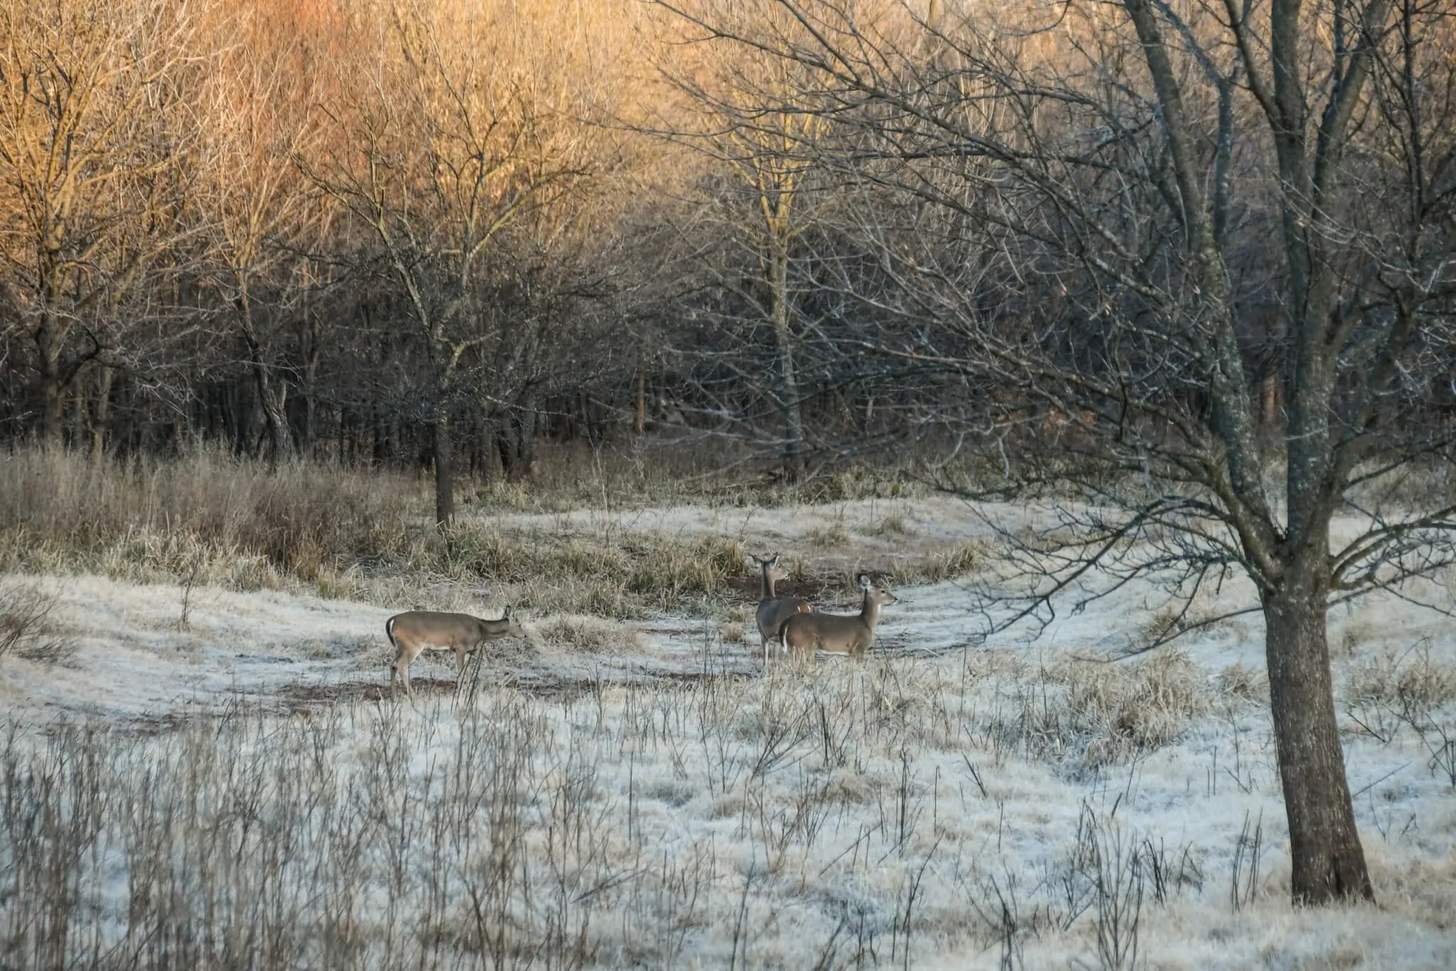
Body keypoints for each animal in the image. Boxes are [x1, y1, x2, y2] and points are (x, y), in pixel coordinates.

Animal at [385, 607, 525, 696]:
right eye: (519, 624)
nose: (524, 635)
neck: (481, 630)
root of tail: (392, 620)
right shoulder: (459, 647)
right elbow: (461, 673)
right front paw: (459, 694)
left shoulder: (469, 651)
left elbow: (468, 674)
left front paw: (467, 692)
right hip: (412, 645)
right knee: (401, 665)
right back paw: (413, 696)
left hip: (400, 647)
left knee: (393, 665)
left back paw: (393, 696)